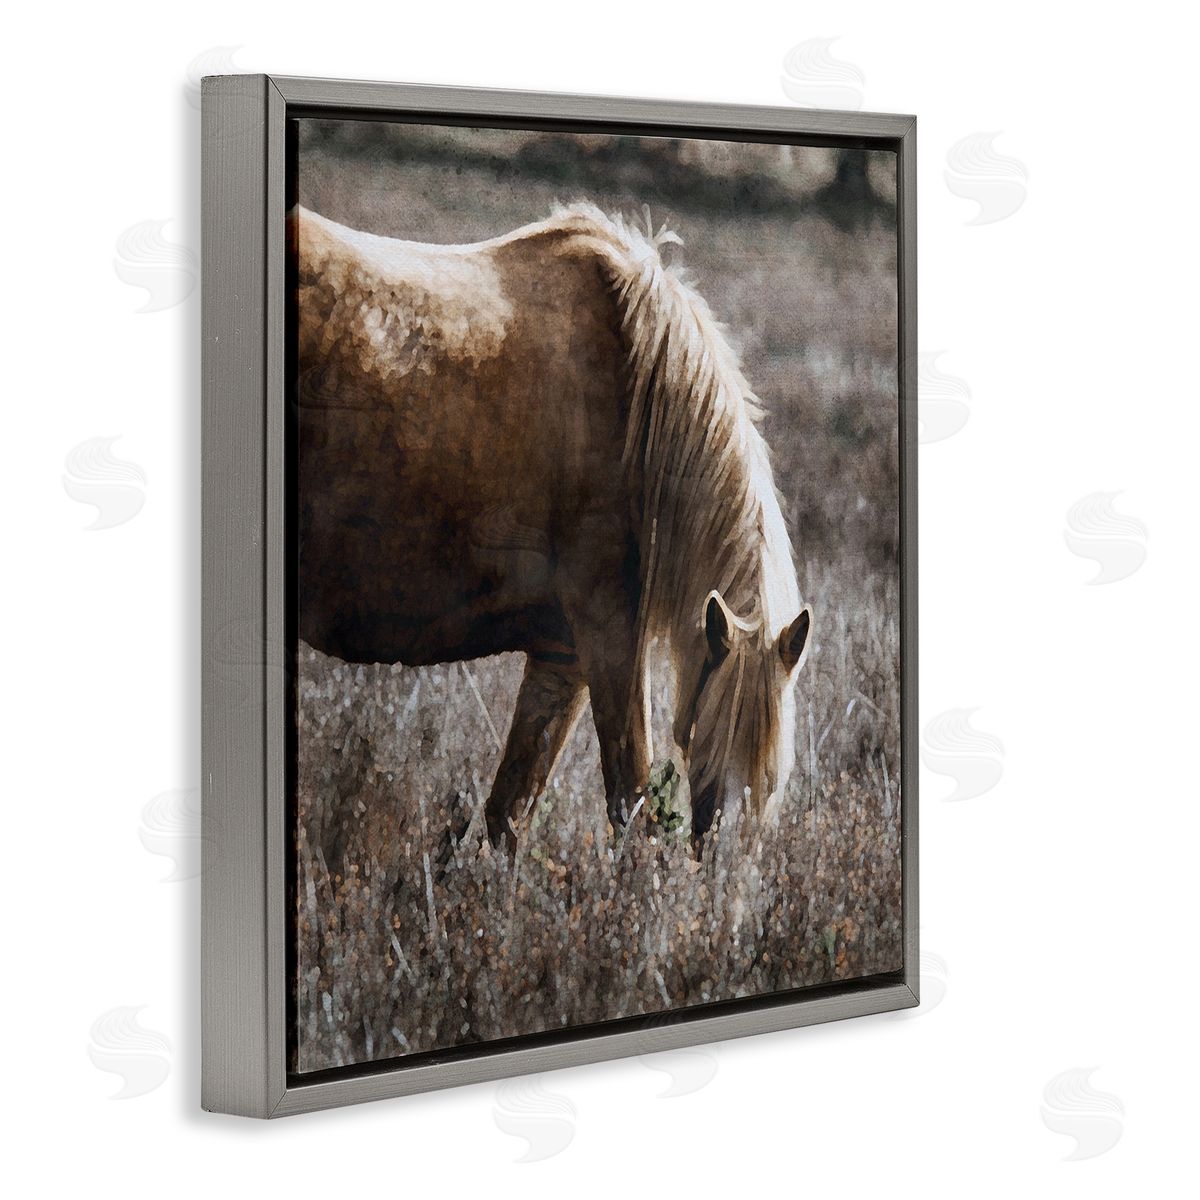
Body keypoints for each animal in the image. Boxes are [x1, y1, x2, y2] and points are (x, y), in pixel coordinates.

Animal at [293, 201, 813, 847]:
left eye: (771, 783)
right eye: (718, 745)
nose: (730, 869)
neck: (637, 398)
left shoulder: (560, 660)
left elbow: (508, 814)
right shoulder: (609, 642)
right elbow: (630, 802)